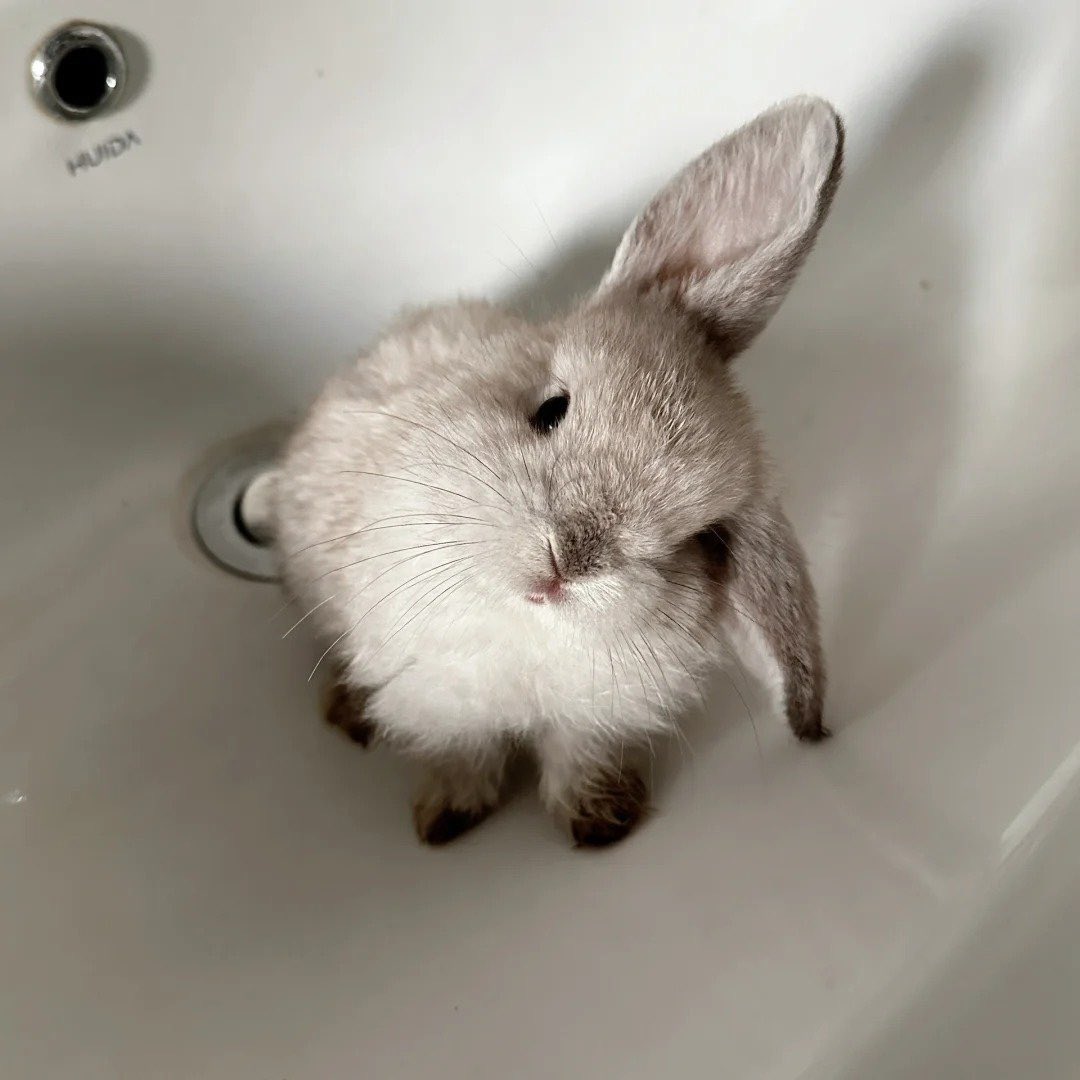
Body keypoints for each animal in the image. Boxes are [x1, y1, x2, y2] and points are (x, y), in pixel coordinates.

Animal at [266, 97, 843, 847]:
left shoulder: (595, 718)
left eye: (703, 540)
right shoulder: (440, 698)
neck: (525, 632)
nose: (567, 562)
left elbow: (576, 758)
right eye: (552, 409)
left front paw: (602, 824)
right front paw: (446, 822)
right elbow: (463, 755)